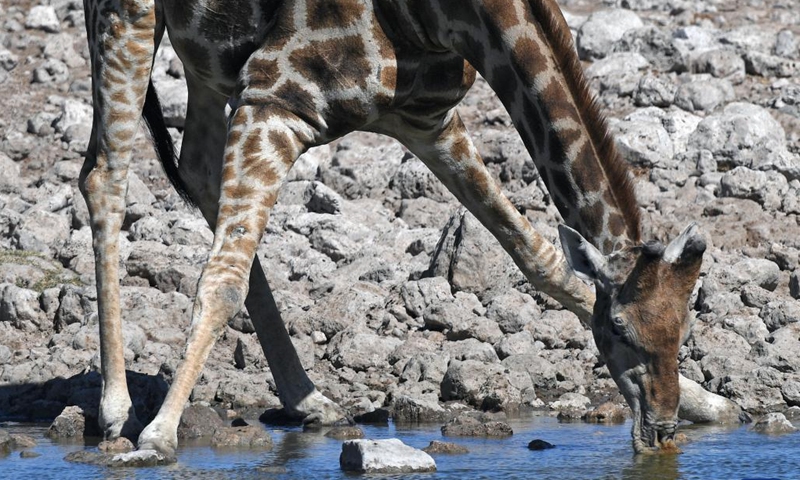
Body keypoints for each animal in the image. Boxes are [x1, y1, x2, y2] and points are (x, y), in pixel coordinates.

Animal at [80, 0, 743, 457]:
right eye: (622, 329)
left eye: (686, 328)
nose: (659, 430)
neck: (437, 17)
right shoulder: (275, 97)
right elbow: (221, 280)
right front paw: (160, 435)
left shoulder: (428, 120)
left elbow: (540, 259)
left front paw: (710, 400)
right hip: (126, 15)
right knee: (105, 175)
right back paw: (116, 408)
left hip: (205, 57)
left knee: (194, 166)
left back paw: (309, 398)